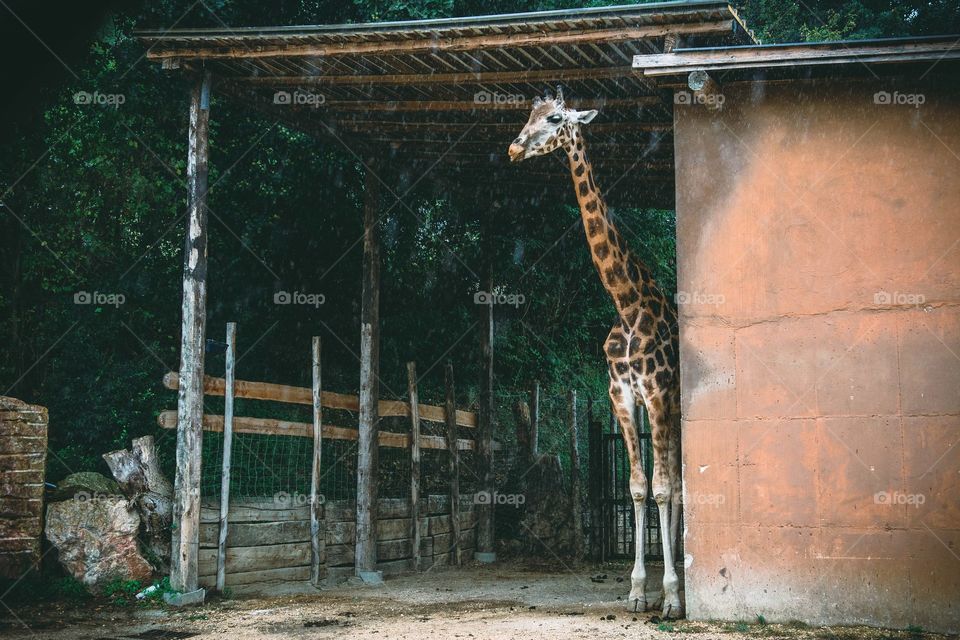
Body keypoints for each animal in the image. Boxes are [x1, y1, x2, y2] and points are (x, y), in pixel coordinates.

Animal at [508, 88, 683, 617]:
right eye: (528, 114)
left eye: (556, 119)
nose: (514, 148)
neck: (626, 303)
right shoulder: (622, 397)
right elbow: (638, 487)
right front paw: (637, 591)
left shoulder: (659, 394)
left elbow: (664, 488)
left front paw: (670, 596)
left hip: (678, 406)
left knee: (681, 483)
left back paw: (681, 586)